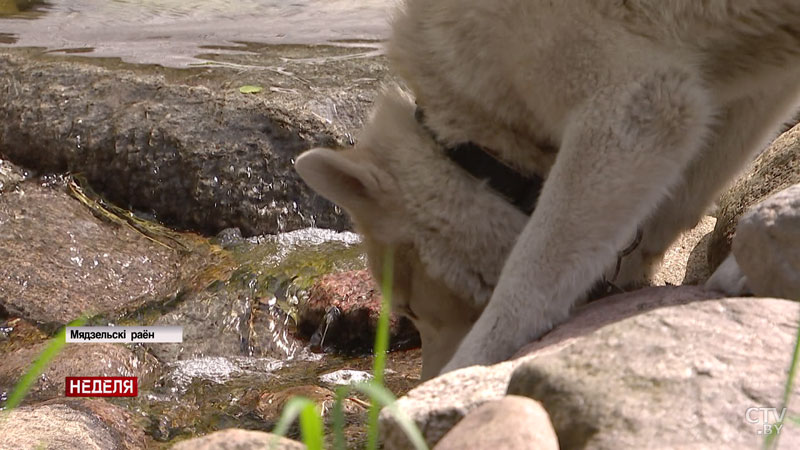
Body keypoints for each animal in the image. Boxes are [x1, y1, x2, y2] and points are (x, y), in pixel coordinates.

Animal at [296, 0, 800, 380]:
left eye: (407, 308)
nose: (426, 381)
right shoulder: (747, 85)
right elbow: (682, 193)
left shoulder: (630, 105)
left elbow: (531, 270)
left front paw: (472, 361)